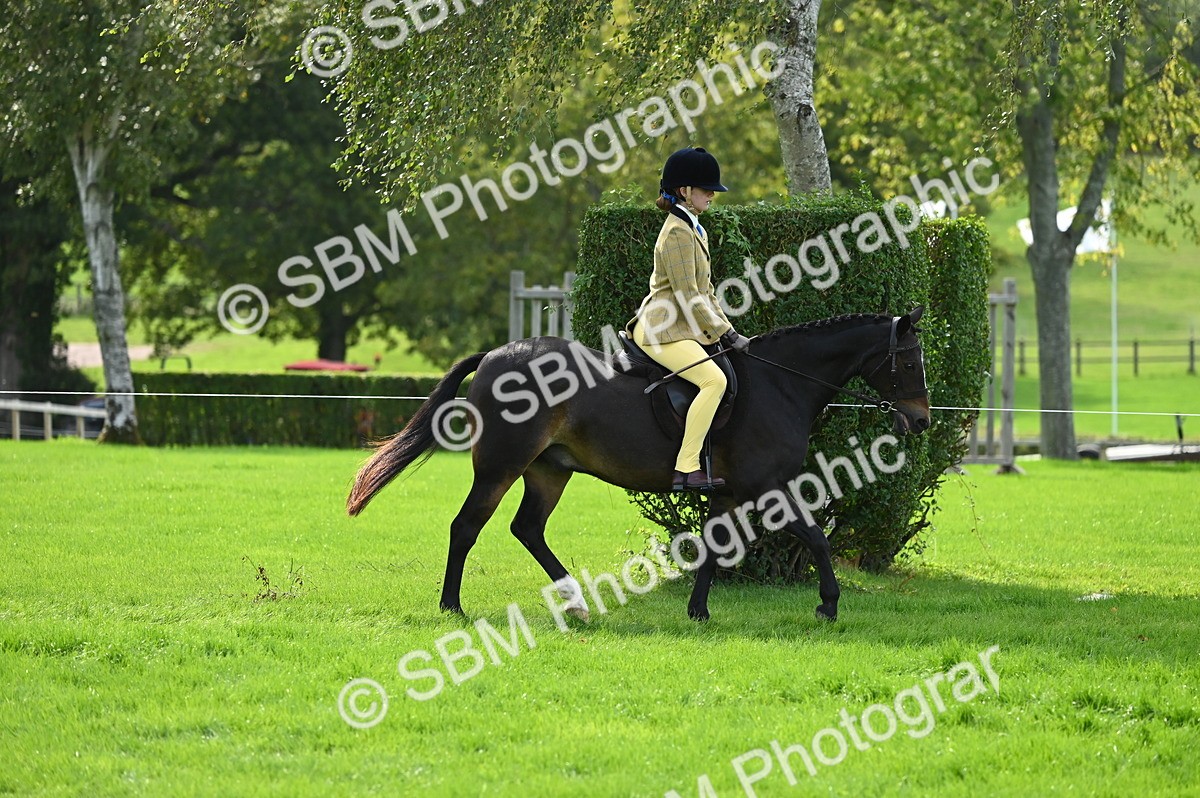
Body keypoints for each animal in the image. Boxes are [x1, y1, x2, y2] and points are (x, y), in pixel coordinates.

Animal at [347, 308, 931, 623]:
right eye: (907, 361)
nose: (922, 420)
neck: (781, 382)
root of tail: (493, 355)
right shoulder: (769, 487)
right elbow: (816, 538)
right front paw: (828, 607)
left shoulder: (728, 492)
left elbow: (717, 548)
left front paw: (698, 611)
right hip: (500, 467)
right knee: (467, 526)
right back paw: (452, 607)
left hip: (549, 470)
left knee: (527, 528)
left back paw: (576, 602)